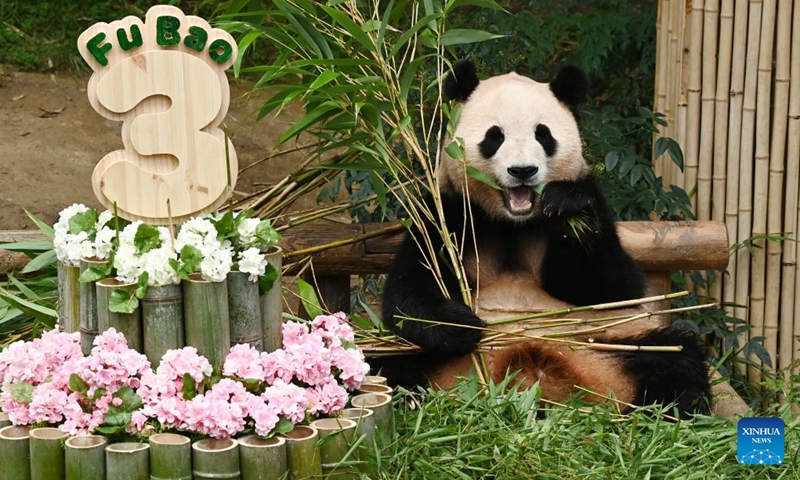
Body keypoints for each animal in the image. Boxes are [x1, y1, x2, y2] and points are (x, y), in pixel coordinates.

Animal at [379, 59, 712, 416]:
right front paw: (463, 325)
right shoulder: (444, 214)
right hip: (412, 355)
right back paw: (409, 398)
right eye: (494, 137)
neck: (513, 223)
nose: (522, 170)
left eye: (543, 134)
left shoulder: (592, 200)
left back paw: (671, 408)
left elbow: (611, 287)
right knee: (384, 363)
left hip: (610, 343)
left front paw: (567, 207)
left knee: (677, 355)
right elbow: (409, 290)